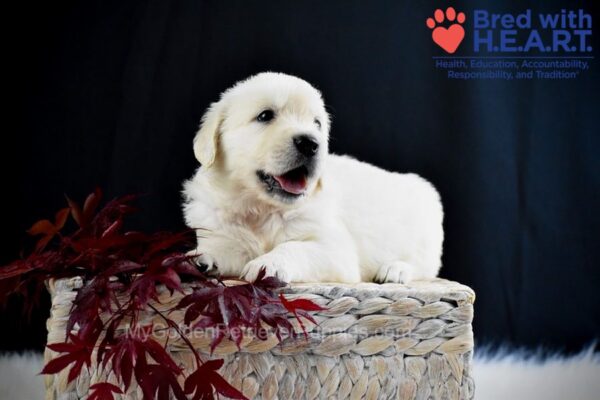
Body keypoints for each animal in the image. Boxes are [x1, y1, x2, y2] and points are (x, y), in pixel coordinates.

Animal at [180, 72, 442, 284]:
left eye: (317, 124)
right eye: (265, 116)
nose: (311, 143)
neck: (262, 209)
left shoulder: (335, 250)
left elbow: (295, 247)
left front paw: (268, 264)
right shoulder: (226, 231)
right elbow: (224, 247)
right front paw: (198, 258)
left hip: (425, 238)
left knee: (424, 266)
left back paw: (394, 270)